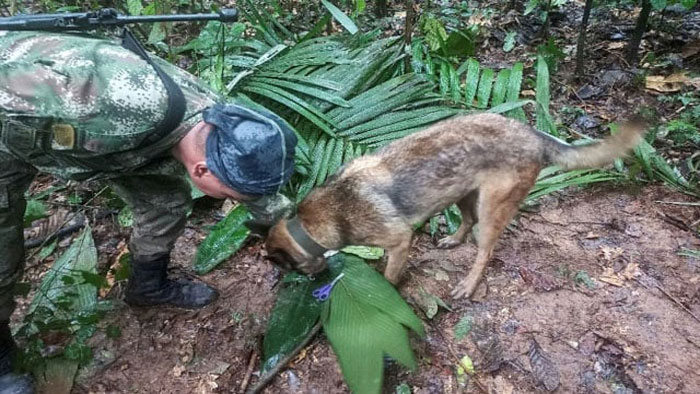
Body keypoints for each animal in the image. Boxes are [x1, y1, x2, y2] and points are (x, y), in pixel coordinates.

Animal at [264, 114, 644, 298]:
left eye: (287, 268)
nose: (316, 280)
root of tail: (533, 134)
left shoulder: (399, 240)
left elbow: (389, 275)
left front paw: (386, 291)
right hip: (462, 191)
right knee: (467, 220)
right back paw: (453, 240)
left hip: (492, 209)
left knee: (485, 249)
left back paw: (469, 284)